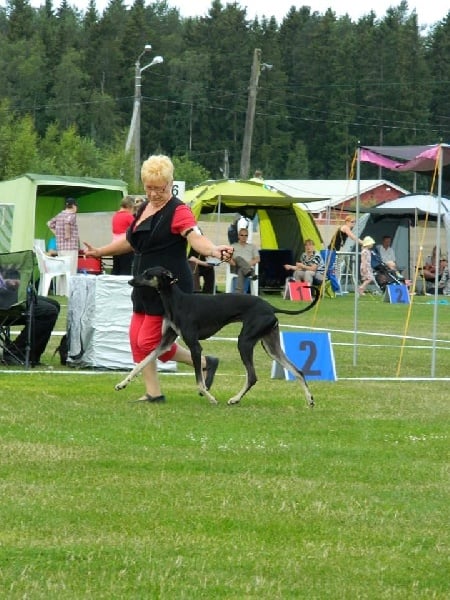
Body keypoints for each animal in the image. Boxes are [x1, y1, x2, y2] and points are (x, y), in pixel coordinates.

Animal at [116, 268, 320, 408]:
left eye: (148, 274)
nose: (130, 280)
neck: (176, 301)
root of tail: (270, 307)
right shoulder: (164, 343)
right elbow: (142, 363)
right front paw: (122, 383)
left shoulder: (195, 346)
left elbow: (199, 382)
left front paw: (211, 398)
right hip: (271, 346)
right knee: (298, 371)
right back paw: (309, 399)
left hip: (244, 342)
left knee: (252, 376)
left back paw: (235, 399)